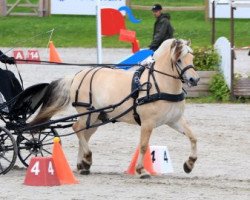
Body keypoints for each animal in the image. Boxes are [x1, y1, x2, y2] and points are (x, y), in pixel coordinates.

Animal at [30, 38, 199, 178]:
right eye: (179, 60)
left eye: (192, 58)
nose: (194, 80)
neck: (159, 83)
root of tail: (77, 75)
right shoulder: (147, 123)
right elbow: (144, 146)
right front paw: (141, 170)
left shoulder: (174, 120)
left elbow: (193, 137)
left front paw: (189, 164)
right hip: (87, 114)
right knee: (76, 128)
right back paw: (87, 158)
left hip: (96, 118)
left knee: (84, 135)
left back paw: (83, 165)